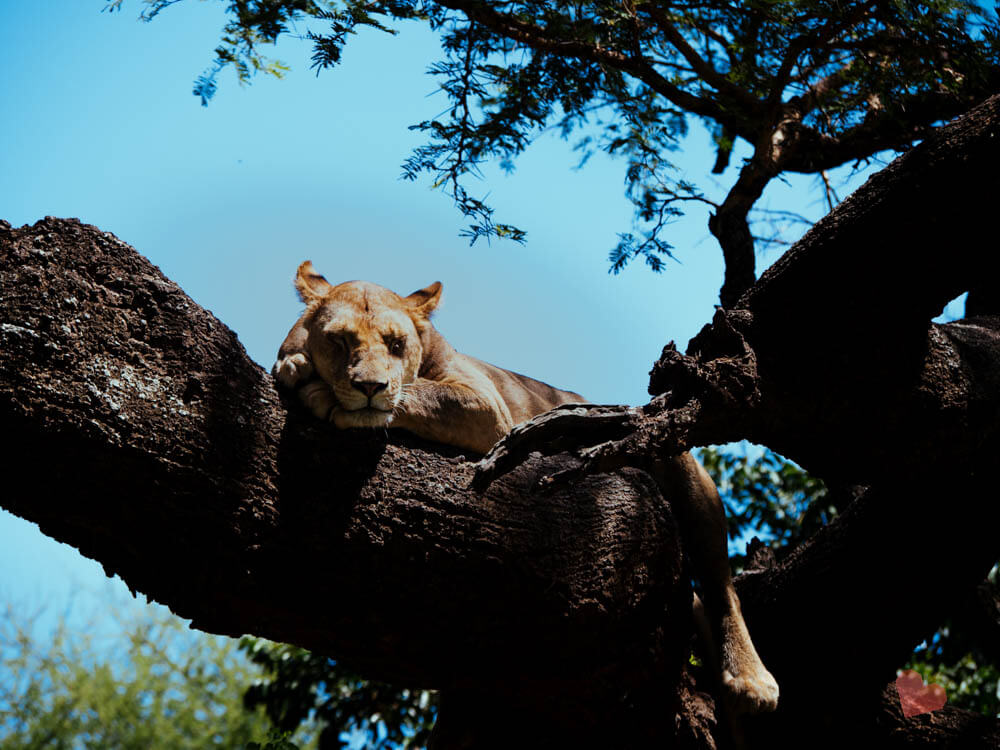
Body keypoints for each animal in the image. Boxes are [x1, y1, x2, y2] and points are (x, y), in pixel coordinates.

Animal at [274, 262, 780, 720]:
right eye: (340, 341)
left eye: (396, 344)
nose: (369, 386)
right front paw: (297, 365)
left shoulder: (488, 409)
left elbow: (417, 395)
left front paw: (319, 388)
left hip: (676, 461)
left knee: (720, 583)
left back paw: (750, 681)